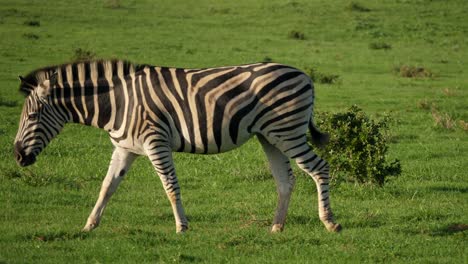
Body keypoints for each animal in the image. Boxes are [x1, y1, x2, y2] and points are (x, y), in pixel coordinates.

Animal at [13, 59, 340, 233]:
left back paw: (329, 222)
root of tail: (304, 74)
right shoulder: (125, 148)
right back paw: (276, 227)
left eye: (32, 116)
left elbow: (170, 185)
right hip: (270, 136)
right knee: (286, 179)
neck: (118, 103)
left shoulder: (155, 141)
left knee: (320, 169)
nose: (17, 156)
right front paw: (89, 225)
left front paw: (182, 226)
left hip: (288, 131)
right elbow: (107, 186)